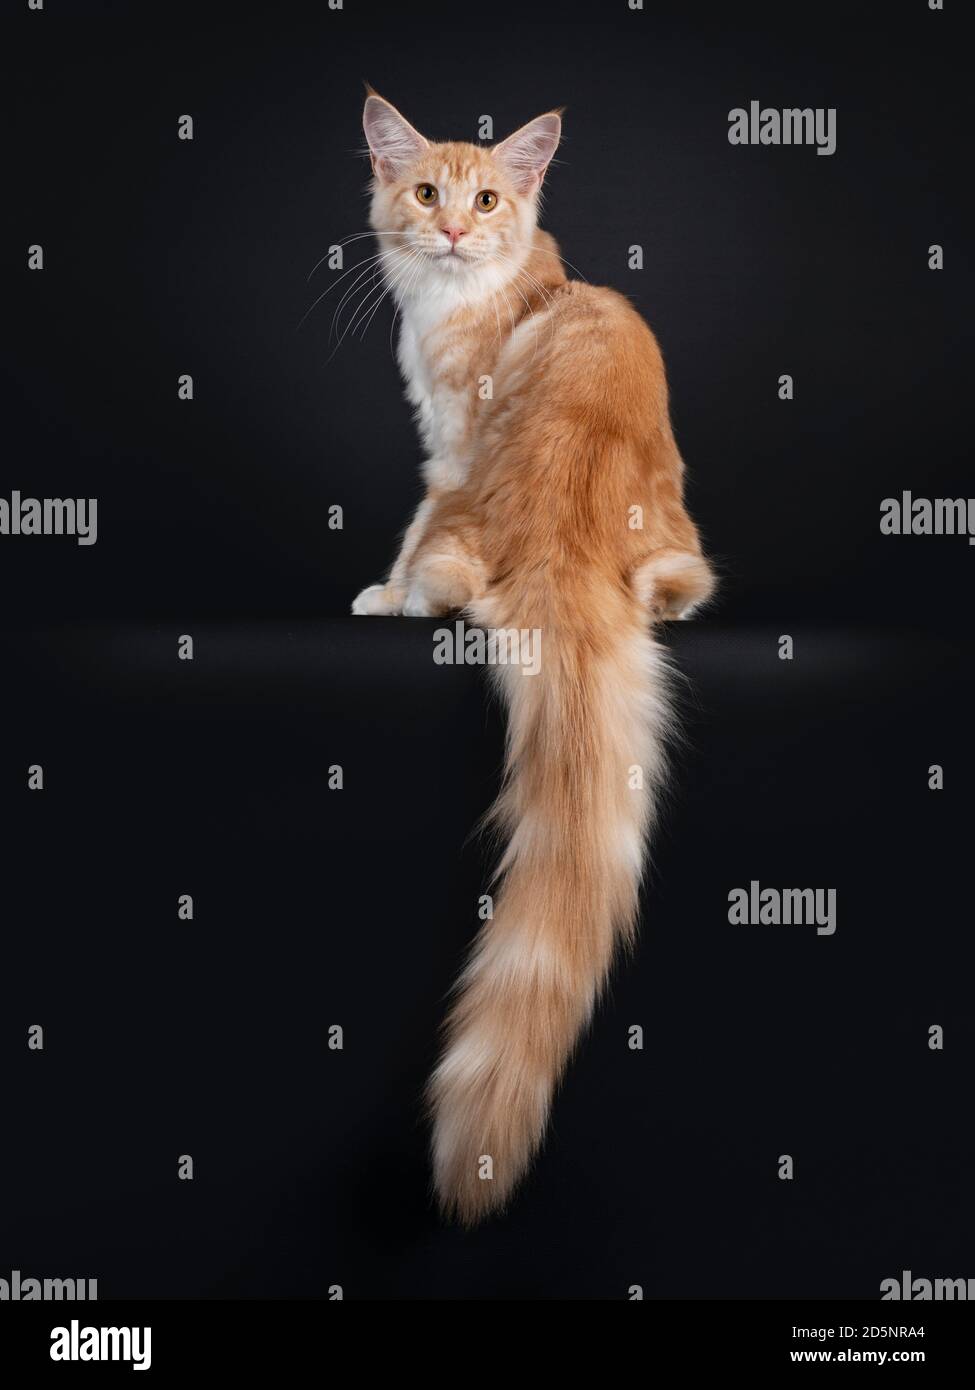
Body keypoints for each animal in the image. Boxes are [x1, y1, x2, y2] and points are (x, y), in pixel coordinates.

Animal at [351, 95, 717, 1228]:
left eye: (487, 202)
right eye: (428, 192)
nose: (451, 231)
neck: (465, 296)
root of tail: (570, 536)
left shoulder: (450, 448)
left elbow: (410, 530)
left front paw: (382, 590)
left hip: (475, 518)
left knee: (447, 576)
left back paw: (414, 599)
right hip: (679, 536)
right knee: (684, 585)